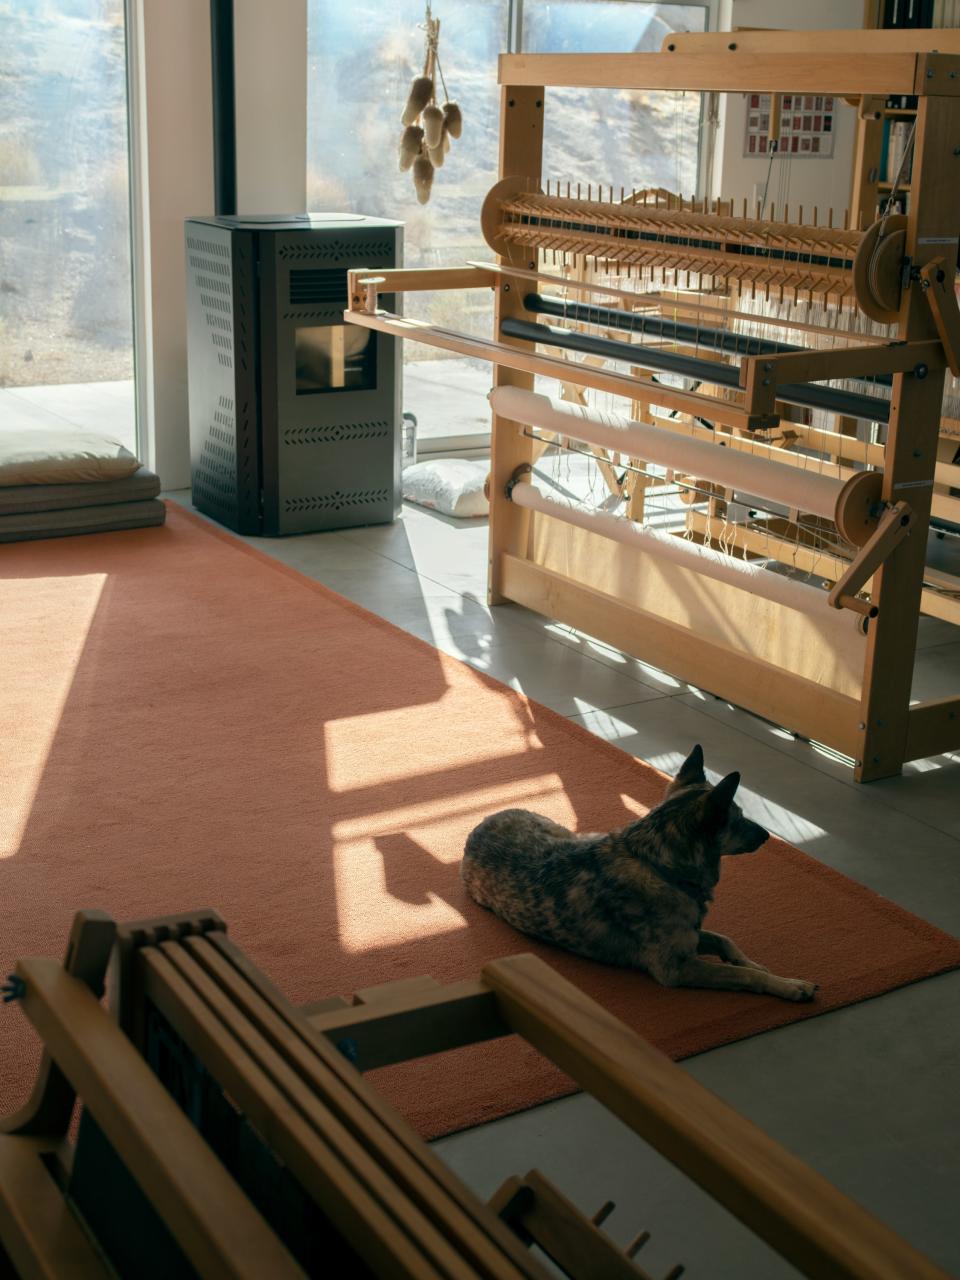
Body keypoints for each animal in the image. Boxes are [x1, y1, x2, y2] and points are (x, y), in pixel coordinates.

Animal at [463, 747, 819, 1003]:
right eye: (739, 818)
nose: (767, 836)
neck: (657, 863)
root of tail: (481, 823)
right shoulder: (676, 967)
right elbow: (744, 976)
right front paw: (788, 985)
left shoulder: (690, 939)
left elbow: (725, 941)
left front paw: (754, 963)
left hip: (573, 834)